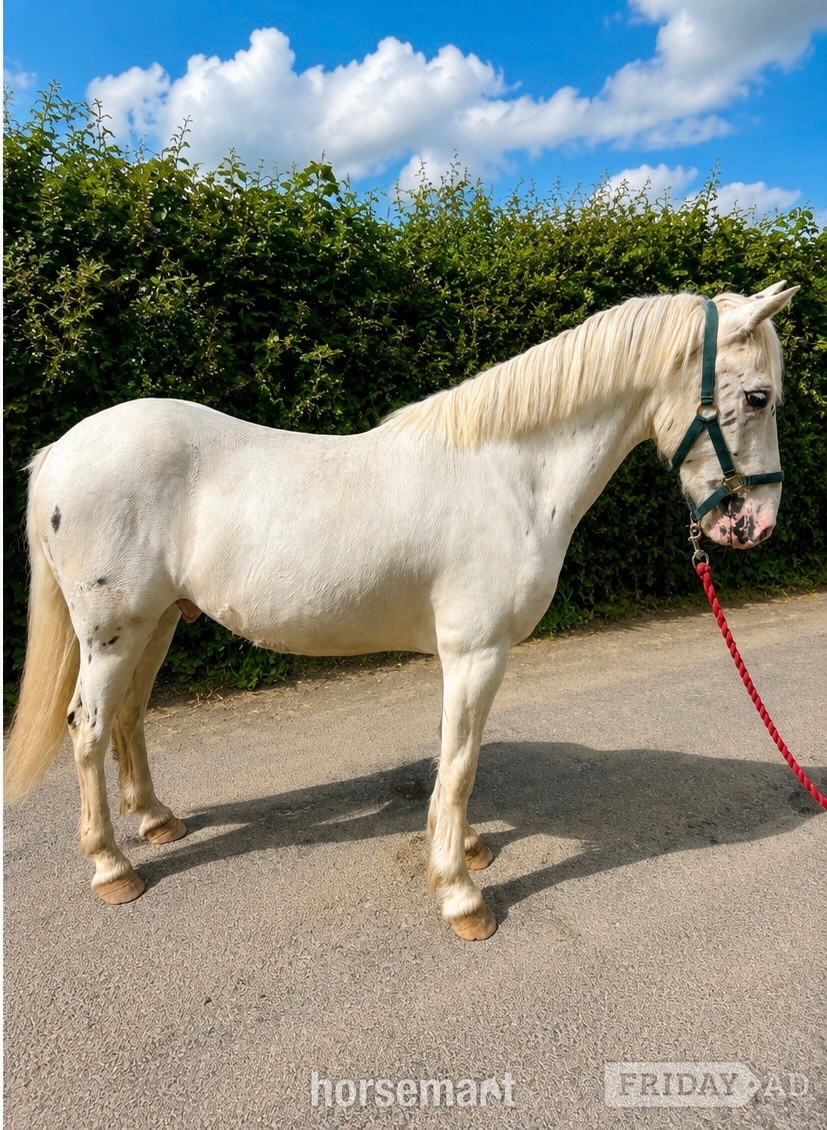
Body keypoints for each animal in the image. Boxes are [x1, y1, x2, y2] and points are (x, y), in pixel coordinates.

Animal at [4, 282, 797, 940]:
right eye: (759, 397)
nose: (756, 524)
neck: (509, 472)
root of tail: (63, 449)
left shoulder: (463, 657)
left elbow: (454, 759)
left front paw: (467, 848)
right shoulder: (477, 652)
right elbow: (461, 764)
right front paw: (461, 895)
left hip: (159, 621)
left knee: (129, 719)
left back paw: (157, 822)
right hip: (112, 634)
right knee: (89, 729)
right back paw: (113, 868)